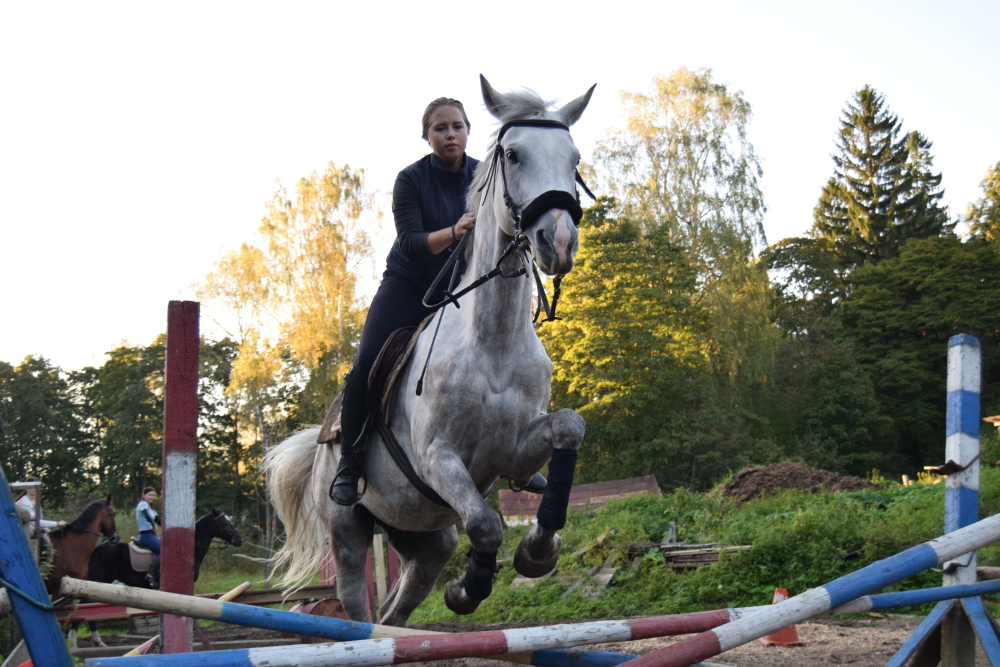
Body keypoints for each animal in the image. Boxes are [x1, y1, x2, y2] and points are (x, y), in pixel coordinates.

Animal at [266, 77, 592, 628]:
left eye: (574, 159)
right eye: (513, 154)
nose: (560, 241)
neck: (492, 344)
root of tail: (321, 441)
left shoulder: (511, 453)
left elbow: (568, 427)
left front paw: (537, 552)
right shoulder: (438, 459)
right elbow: (485, 524)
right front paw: (469, 590)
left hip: (423, 535)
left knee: (397, 608)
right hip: (348, 530)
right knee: (358, 607)